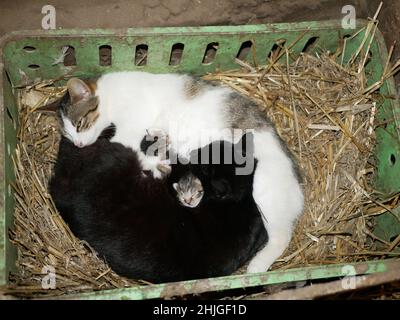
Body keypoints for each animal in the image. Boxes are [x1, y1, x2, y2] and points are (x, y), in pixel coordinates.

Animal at [47, 71, 304, 274]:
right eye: (68, 134)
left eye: (80, 124)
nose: (78, 144)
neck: (113, 96)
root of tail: (299, 190)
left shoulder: (129, 129)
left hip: (264, 192)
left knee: (281, 236)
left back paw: (258, 266)